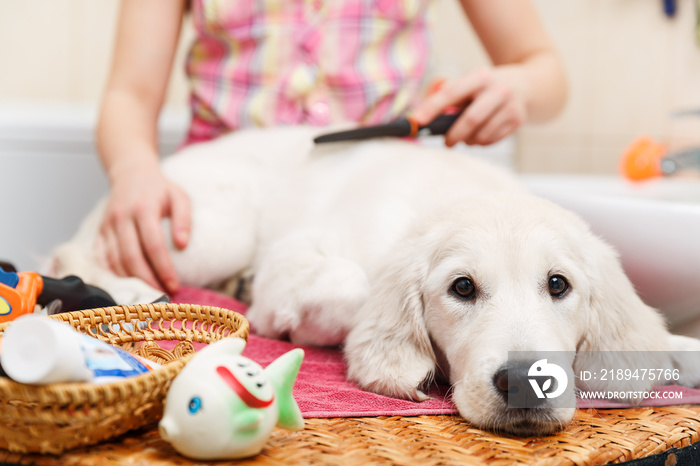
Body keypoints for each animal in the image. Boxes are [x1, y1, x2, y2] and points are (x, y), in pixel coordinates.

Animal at [47, 125, 700, 436]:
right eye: (462, 288)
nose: (524, 383)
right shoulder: (299, 256)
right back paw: (134, 291)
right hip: (207, 231)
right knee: (77, 252)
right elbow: (350, 287)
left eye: (558, 285)